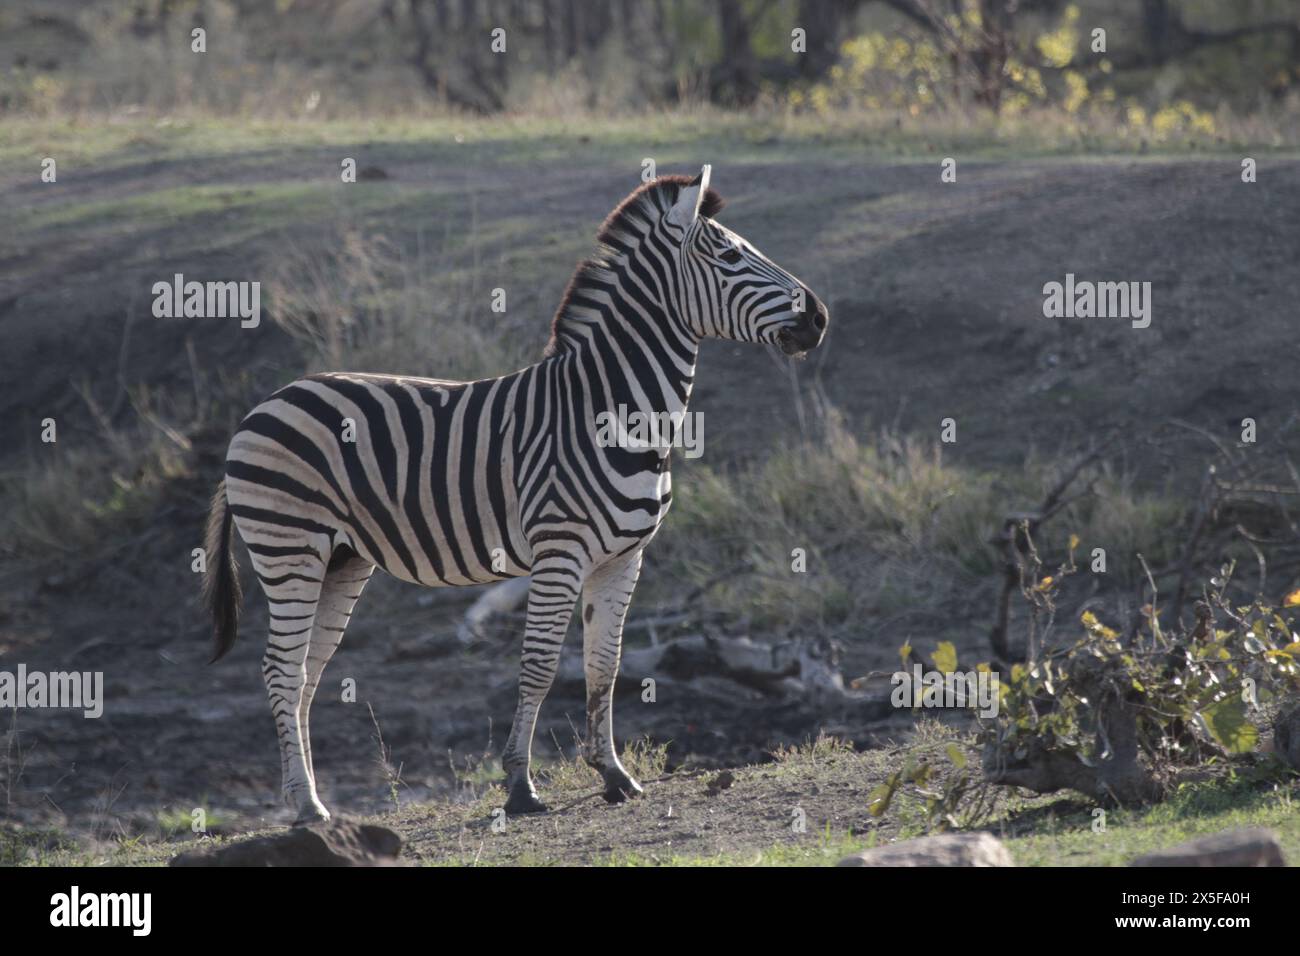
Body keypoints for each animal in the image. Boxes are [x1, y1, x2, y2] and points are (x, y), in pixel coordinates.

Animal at [202, 166, 832, 822]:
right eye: (732, 255)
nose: (819, 317)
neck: (613, 409)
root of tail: (263, 405)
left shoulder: (623, 558)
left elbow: (604, 666)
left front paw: (615, 774)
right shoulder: (561, 552)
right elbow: (539, 666)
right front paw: (521, 786)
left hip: (342, 559)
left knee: (306, 671)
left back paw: (311, 798)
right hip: (289, 548)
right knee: (281, 669)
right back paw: (305, 806)